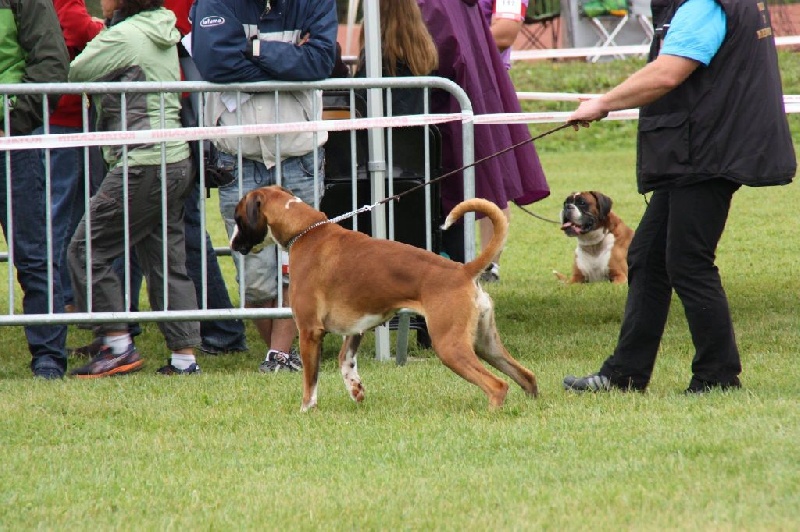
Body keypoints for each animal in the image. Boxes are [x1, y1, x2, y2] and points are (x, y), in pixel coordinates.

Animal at [228, 186, 536, 412]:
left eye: (238, 217)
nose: (231, 243)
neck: (306, 231)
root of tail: (463, 270)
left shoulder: (309, 332)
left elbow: (310, 380)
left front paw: (306, 409)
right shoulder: (357, 328)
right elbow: (345, 361)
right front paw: (356, 391)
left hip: (450, 346)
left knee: (497, 385)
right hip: (486, 344)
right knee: (525, 376)